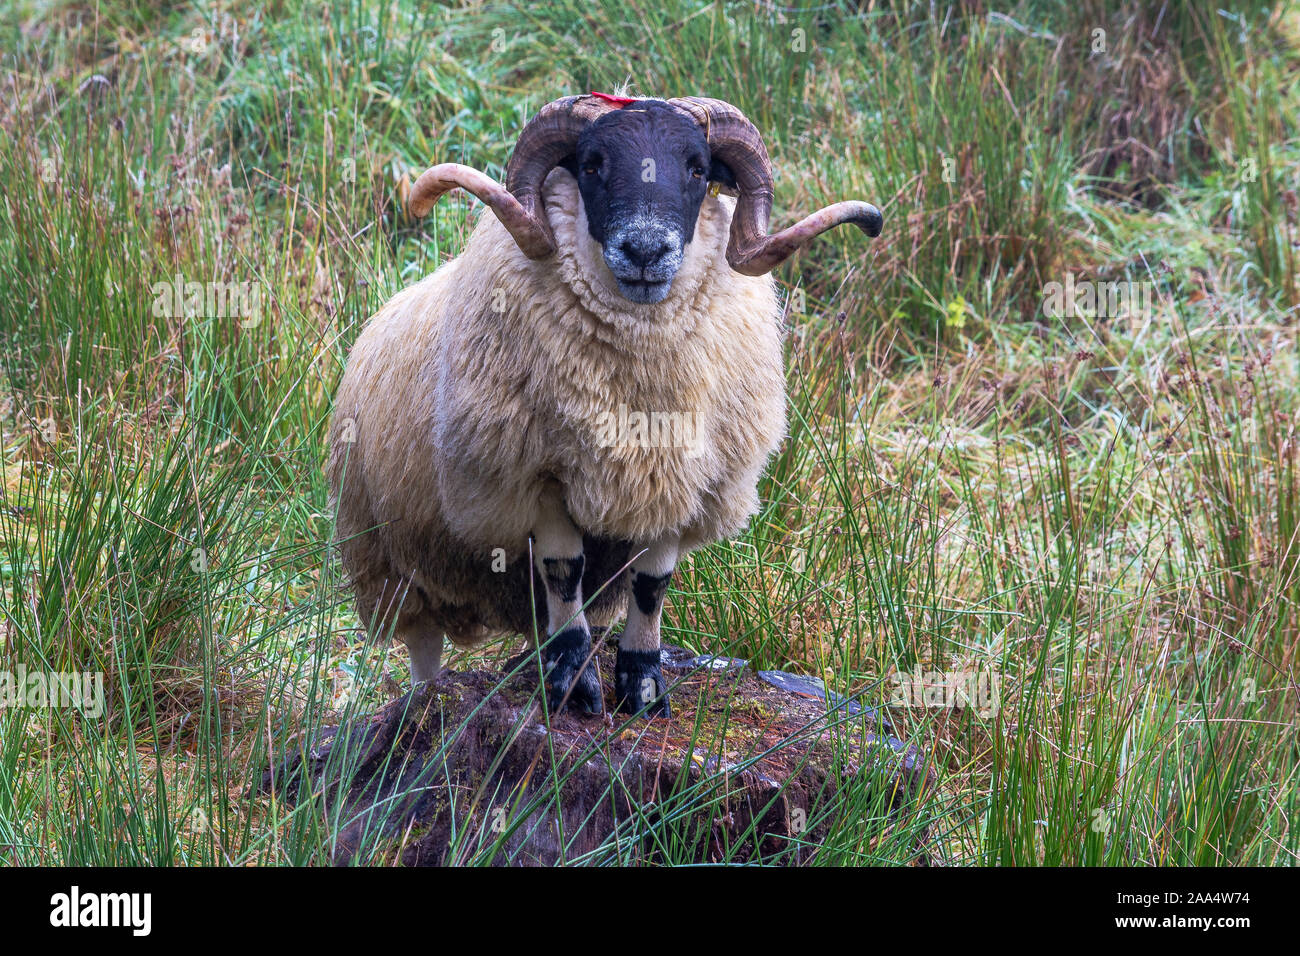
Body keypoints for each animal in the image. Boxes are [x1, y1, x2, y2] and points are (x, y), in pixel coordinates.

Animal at [327, 95, 883, 717]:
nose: (645, 251)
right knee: (424, 643)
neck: (639, 387)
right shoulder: (536, 476)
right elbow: (562, 571)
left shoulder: (680, 480)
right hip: (392, 563)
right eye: (591, 165)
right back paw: (426, 705)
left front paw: (642, 684)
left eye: (697, 169)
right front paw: (575, 682)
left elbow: (652, 584)